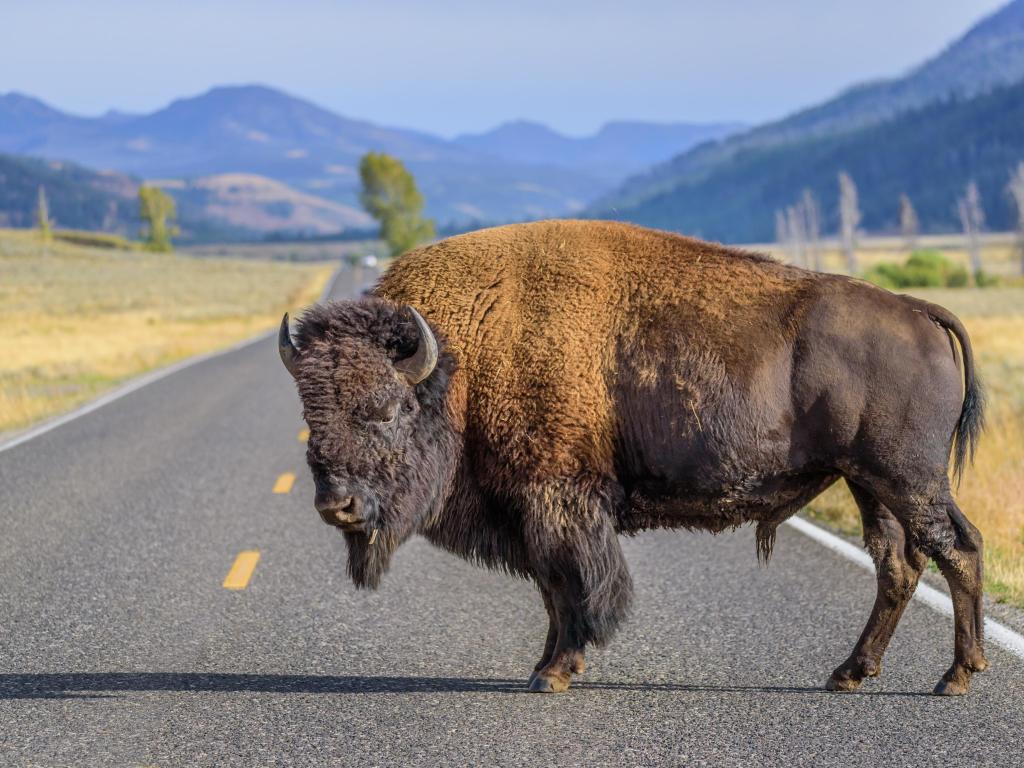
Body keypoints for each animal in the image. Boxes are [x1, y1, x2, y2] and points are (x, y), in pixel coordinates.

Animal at [276, 219, 987, 696]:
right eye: (310, 414)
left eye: (385, 409)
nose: (336, 505)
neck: (463, 355)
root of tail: (916, 310)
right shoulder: (535, 509)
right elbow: (552, 590)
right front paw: (547, 666)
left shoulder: (557, 499)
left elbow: (573, 584)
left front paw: (554, 673)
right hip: (871, 484)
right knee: (899, 563)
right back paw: (851, 673)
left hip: (906, 479)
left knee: (955, 548)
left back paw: (956, 676)